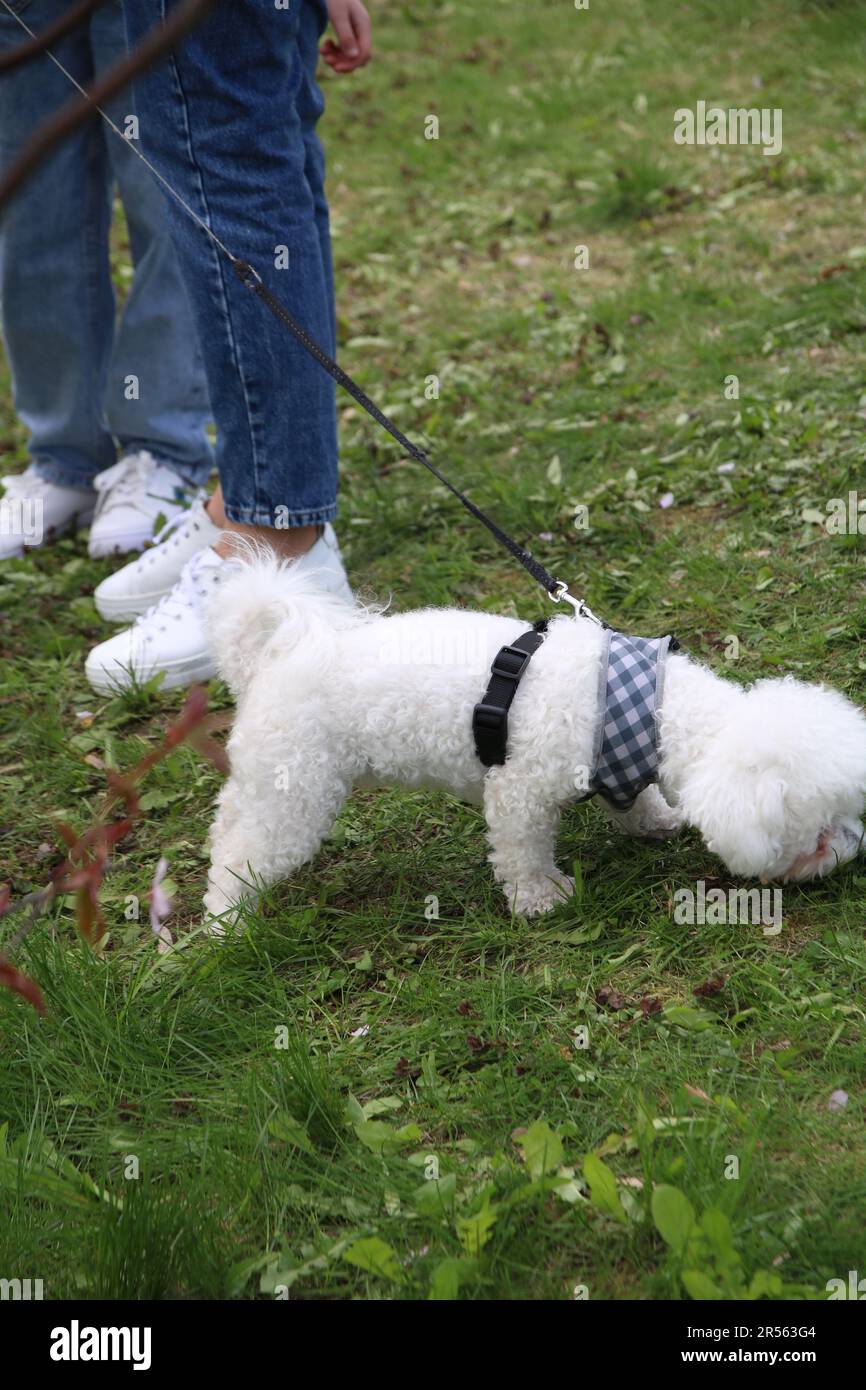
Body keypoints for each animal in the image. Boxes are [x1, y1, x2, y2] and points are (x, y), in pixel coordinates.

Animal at [201, 550, 866, 922]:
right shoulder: (519, 792)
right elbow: (522, 851)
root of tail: (268, 659)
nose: (854, 847)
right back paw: (225, 926)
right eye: (816, 829)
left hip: (268, 780)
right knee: (241, 861)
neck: (636, 707)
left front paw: (654, 820)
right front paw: (542, 898)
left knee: (228, 822)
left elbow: (633, 800)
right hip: (296, 793)